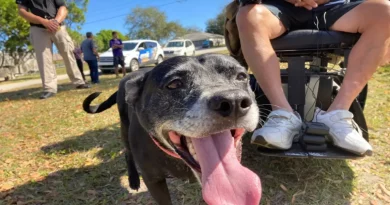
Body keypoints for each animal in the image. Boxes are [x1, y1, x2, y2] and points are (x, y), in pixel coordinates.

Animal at [84, 54, 264, 205]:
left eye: (241, 76)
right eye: (175, 84)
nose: (234, 102)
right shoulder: (153, 181)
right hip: (124, 127)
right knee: (127, 152)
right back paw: (133, 180)